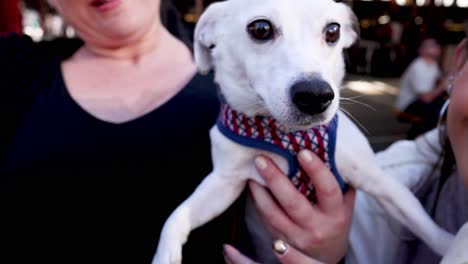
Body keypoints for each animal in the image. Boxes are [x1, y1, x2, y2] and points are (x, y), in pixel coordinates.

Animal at [153, 1, 454, 262]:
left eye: (333, 31)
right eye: (260, 28)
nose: (316, 95)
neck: (289, 135)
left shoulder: (376, 178)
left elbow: (417, 216)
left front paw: (450, 243)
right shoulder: (225, 182)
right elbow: (177, 216)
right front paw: (165, 256)